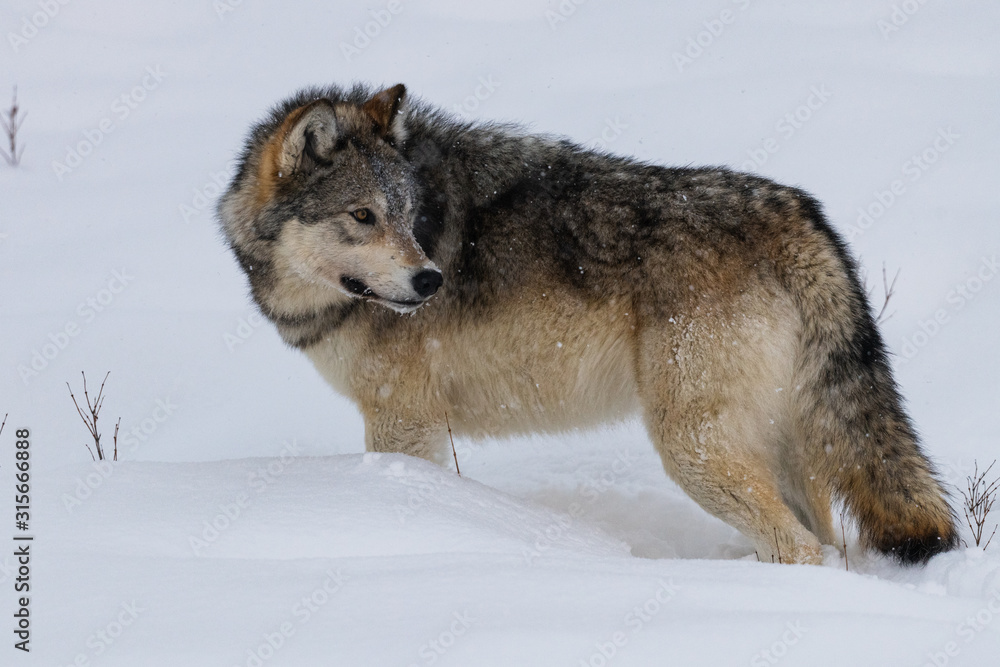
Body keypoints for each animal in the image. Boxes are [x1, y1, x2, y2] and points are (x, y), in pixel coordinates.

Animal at [218, 83, 957, 565]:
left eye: (406, 214)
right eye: (364, 216)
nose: (430, 280)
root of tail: (797, 210)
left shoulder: (403, 421)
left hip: (692, 449)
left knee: (799, 547)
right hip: (777, 445)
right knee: (827, 545)